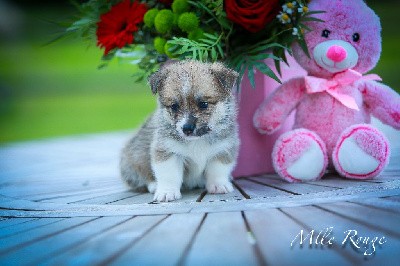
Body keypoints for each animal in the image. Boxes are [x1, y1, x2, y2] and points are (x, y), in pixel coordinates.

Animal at [120, 60, 239, 202]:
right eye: (174, 106)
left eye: (203, 104)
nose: (187, 128)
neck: (197, 141)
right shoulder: (167, 151)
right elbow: (169, 174)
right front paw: (167, 192)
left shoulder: (222, 149)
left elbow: (218, 170)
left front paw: (219, 185)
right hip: (133, 161)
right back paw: (154, 185)